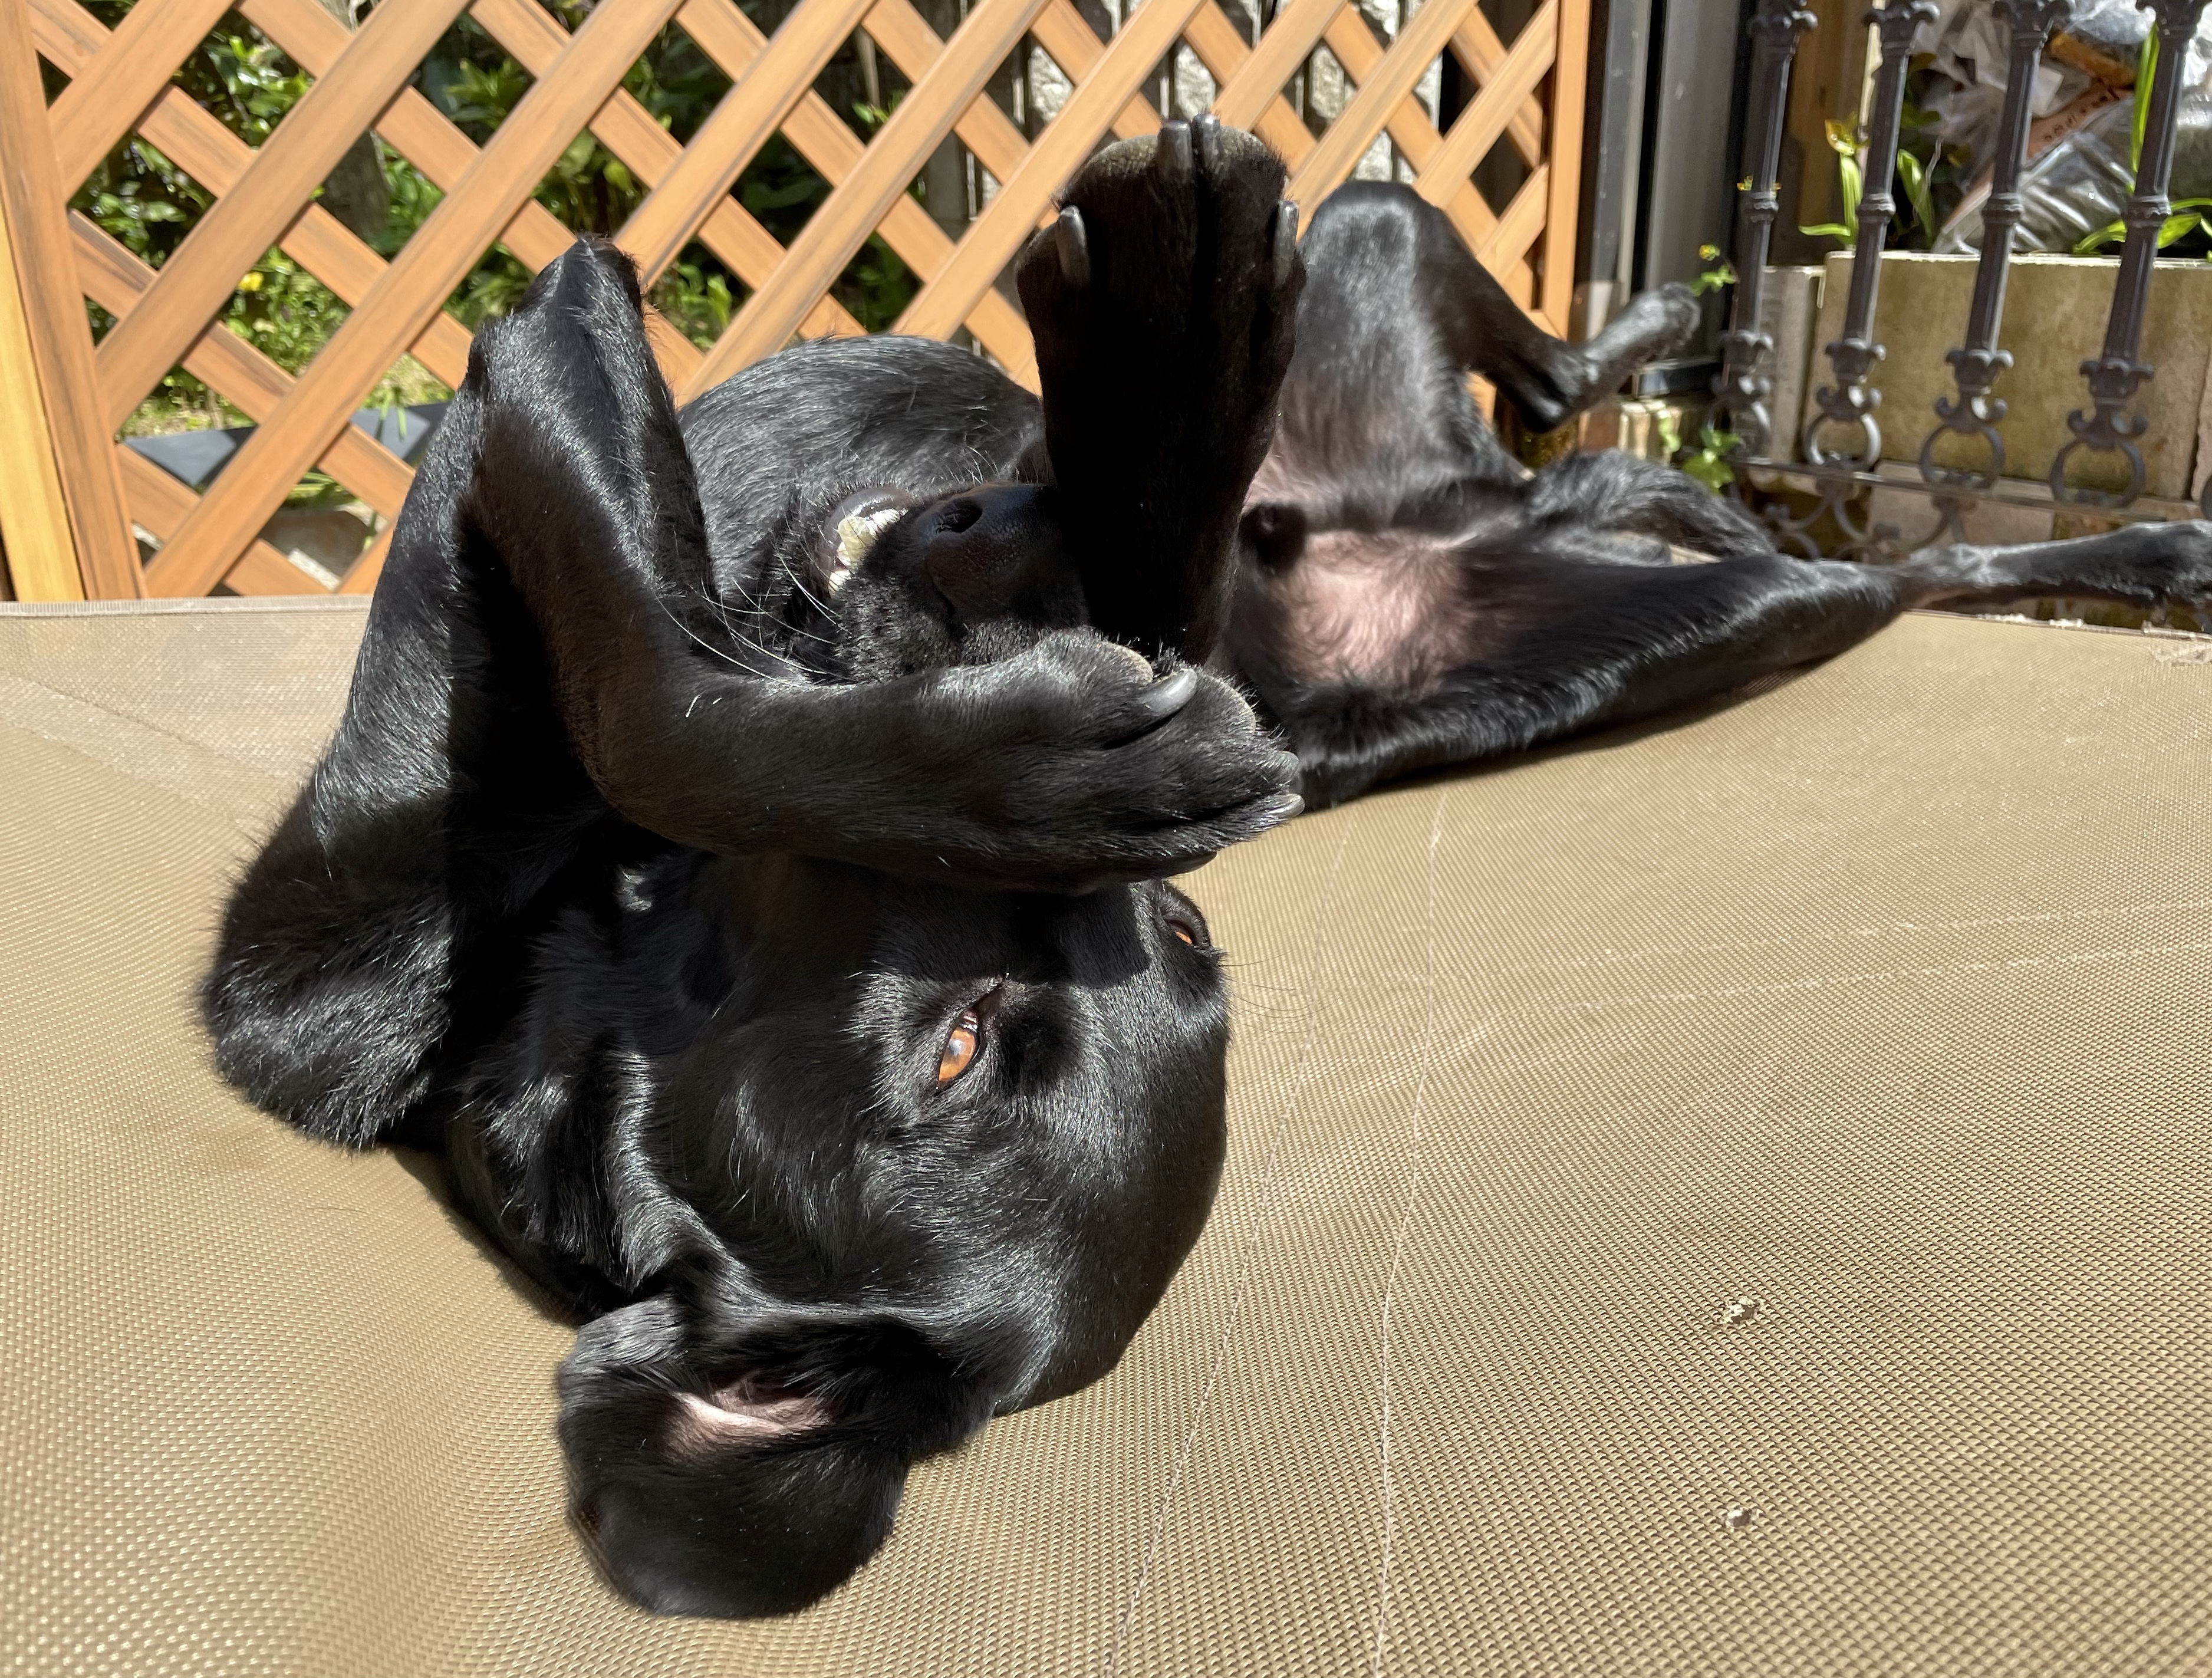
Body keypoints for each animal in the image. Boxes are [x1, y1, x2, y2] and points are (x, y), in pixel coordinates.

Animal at [205, 117, 2212, 1620]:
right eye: (968, 1045)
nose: (984, 595)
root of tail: (1453, 508)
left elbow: (665, 691)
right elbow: (689, 645)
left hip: (1647, 589)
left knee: (1865, 551)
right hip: (1464, 374)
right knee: (1657, 467)